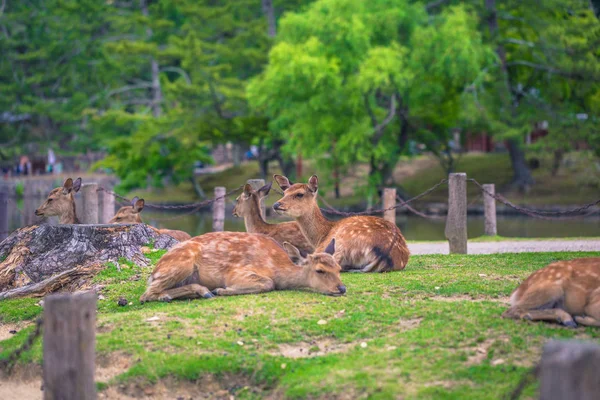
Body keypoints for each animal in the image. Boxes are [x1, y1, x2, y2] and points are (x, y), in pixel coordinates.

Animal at [139, 231, 344, 304]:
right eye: (320, 270)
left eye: (339, 268)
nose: (342, 288)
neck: (276, 266)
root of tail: (153, 272)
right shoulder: (236, 272)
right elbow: (268, 283)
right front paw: (223, 290)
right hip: (182, 264)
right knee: (146, 294)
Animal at [274, 174, 410, 272]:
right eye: (284, 193)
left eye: (300, 194)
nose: (276, 205)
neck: (321, 235)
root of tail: (385, 254)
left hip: (340, 242)